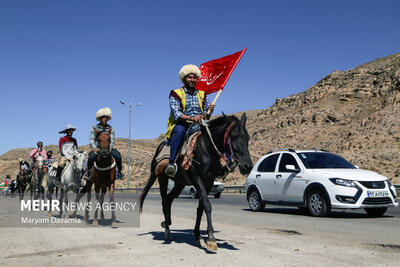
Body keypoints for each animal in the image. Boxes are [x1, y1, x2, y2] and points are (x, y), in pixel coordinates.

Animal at [140, 114, 253, 252]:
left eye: (247, 137)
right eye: (234, 136)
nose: (248, 166)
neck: (206, 150)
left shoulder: (208, 182)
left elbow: (201, 208)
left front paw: (197, 236)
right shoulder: (197, 179)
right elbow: (208, 205)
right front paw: (211, 239)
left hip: (180, 183)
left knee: (168, 200)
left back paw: (167, 224)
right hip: (161, 177)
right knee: (164, 199)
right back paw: (167, 230)